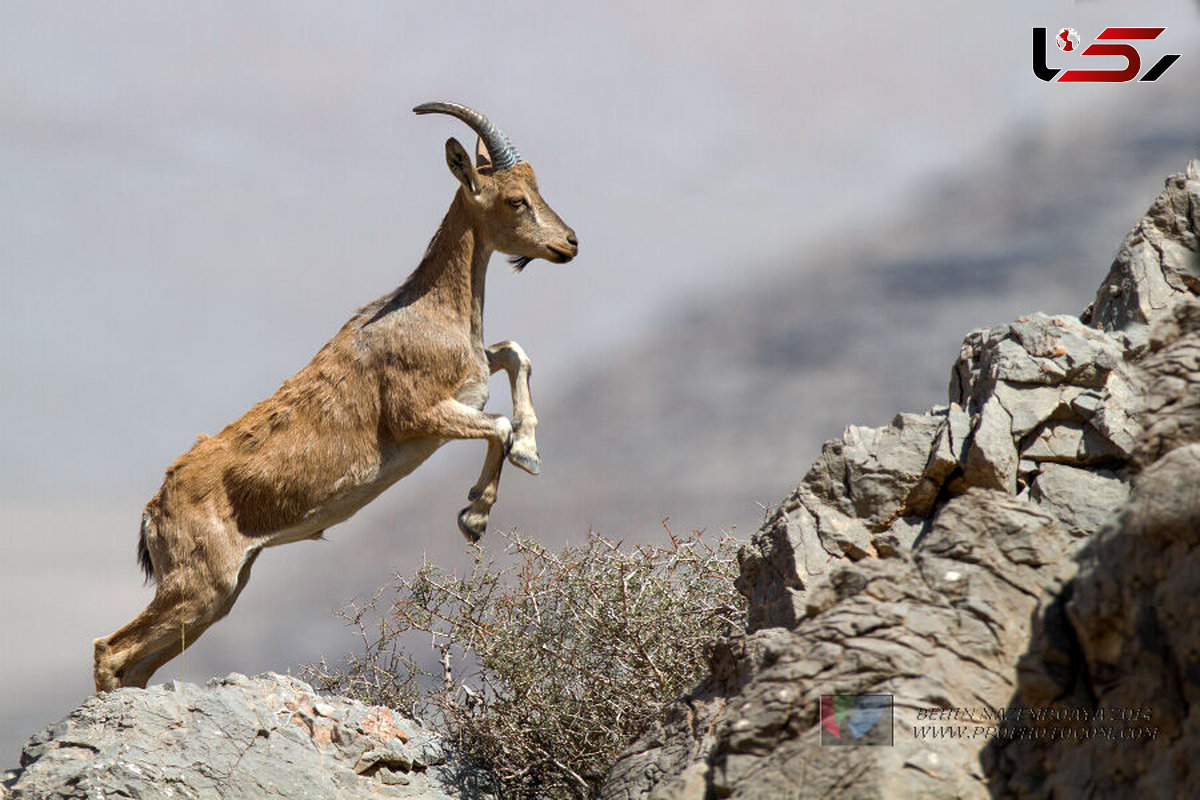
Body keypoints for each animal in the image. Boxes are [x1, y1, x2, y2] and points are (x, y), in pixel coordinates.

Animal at [90, 103, 576, 695]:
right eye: (515, 199)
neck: (430, 309)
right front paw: (477, 514)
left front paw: (528, 453)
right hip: (200, 583)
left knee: (137, 664)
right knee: (110, 650)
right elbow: (499, 423)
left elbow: (513, 354)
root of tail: (152, 510)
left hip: (218, 596)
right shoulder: (421, 415)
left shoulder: (470, 383)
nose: (570, 243)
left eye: (536, 186)